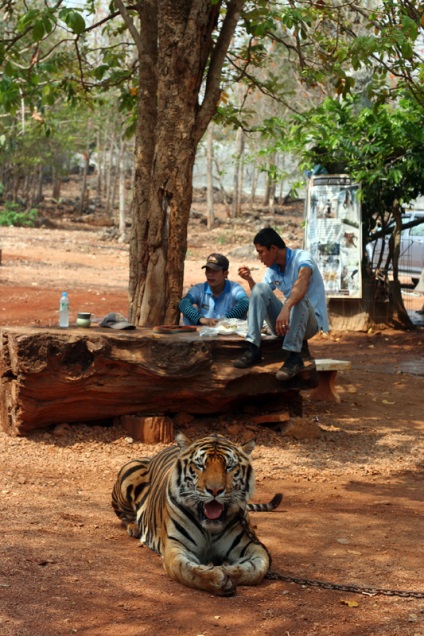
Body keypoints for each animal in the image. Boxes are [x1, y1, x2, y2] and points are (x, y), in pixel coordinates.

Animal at [112, 432, 282, 596]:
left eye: (229, 466)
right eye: (200, 465)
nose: (215, 490)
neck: (210, 529)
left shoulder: (253, 545)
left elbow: (257, 569)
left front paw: (226, 569)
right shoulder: (177, 546)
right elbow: (187, 571)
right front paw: (218, 579)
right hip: (129, 471)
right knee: (124, 515)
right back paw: (134, 527)